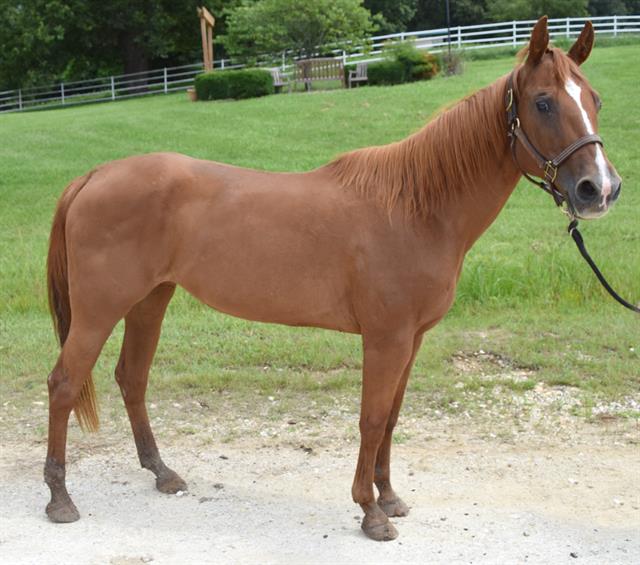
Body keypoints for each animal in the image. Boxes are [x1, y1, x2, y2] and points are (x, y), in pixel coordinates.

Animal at [43, 15, 620, 540]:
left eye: (594, 99)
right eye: (543, 102)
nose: (600, 189)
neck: (416, 208)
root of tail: (94, 175)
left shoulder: (411, 339)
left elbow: (391, 417)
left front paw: (389, 498)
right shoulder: (385, 339)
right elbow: (371, 418)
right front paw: (370, 512)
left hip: (150, 300)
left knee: (132, 378)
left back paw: (162, 473)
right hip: (99, 310)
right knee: (65, 383)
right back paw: (60, 499)